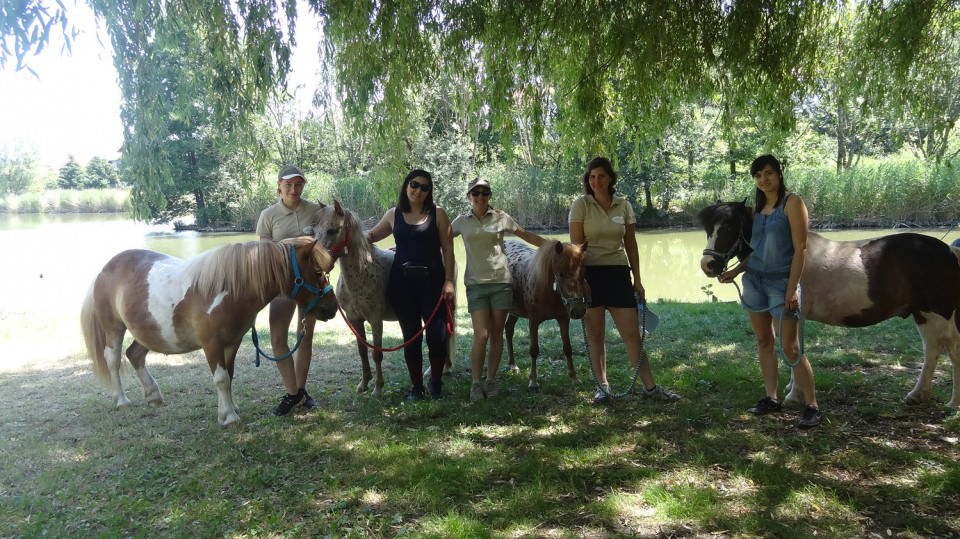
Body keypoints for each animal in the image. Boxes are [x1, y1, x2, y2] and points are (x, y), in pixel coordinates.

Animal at [80, 238, 340, 428]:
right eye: (318, 272)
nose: (333, 308)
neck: (226, 291)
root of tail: (105, 269)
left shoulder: (232, 343)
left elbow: (229, 377)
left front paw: (230, 409)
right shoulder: (211, 344)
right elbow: (221, 378)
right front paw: (229, 418)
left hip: (147, 331)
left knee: (134, 355)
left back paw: (153, 396)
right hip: (114, 328)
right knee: (113, 359)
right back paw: (121, 401)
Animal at [506, 240, 588, 392]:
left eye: (583, 272)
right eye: (561, 274)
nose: (578, 310)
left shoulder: (564, 319)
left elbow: (568, 348)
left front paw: (574, 377)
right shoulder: (533, 321)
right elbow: (534, 350)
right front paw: (533, 381)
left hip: (514, 311)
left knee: (508, 330)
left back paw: (512, 365)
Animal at [696, 200, 960, 408]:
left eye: (729, 227)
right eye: (708, 228)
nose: (708, 265)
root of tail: (948, 251)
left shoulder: (794, 314)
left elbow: (794, 352)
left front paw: (794, 395)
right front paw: (793, 389)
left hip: (938, 313)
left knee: (951, 348)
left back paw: (953, 403)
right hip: (922, 313)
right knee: (932, 349)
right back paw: (917, 395)